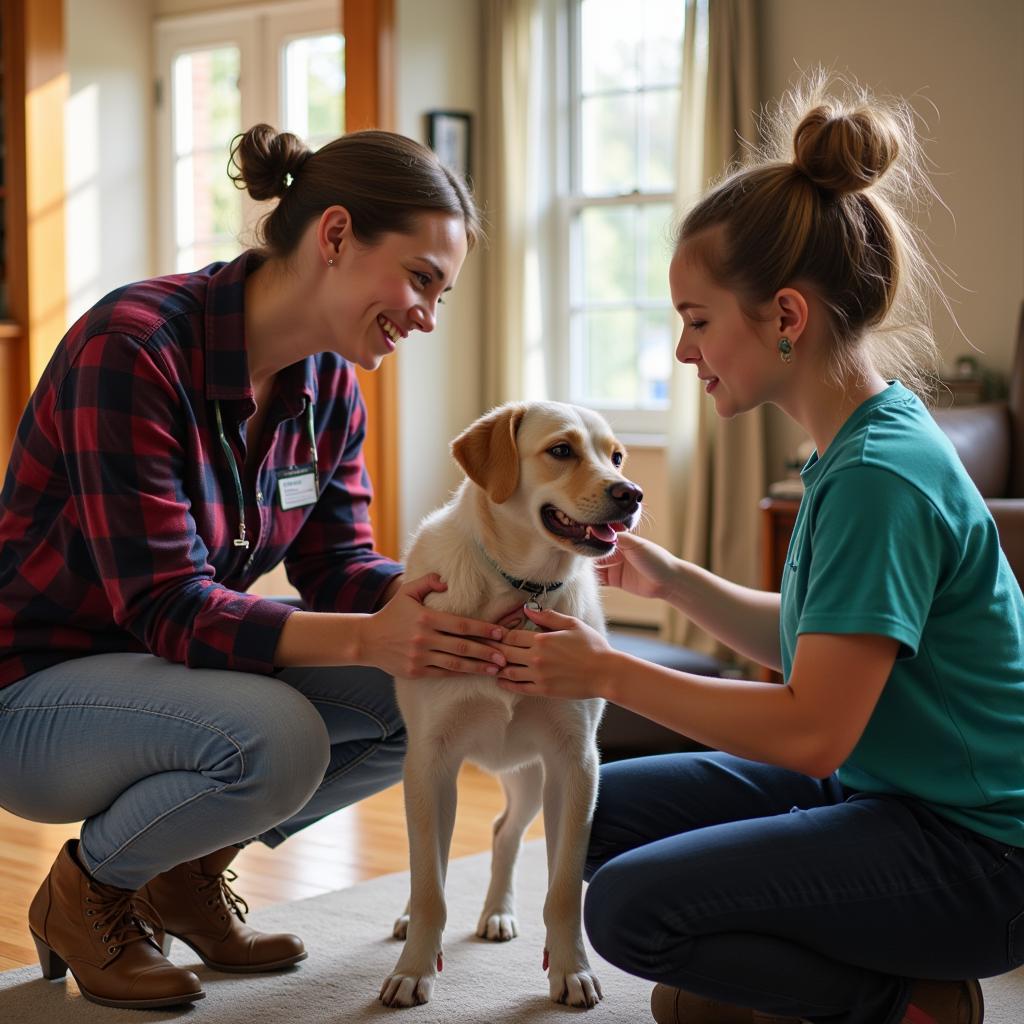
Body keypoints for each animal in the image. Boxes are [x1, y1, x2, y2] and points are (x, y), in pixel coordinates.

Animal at [380, 399, 643, 1007]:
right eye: (561, 450)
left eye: (616, 455)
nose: (632, 494)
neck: (521, 590)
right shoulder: (429, 761)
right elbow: (428, 882)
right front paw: (415, 969)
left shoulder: (575, 764)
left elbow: (563, 889)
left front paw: (571, 970)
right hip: (433, 781)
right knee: (433, 856)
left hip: (530, 777)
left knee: (503, 832)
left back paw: (498, 912)